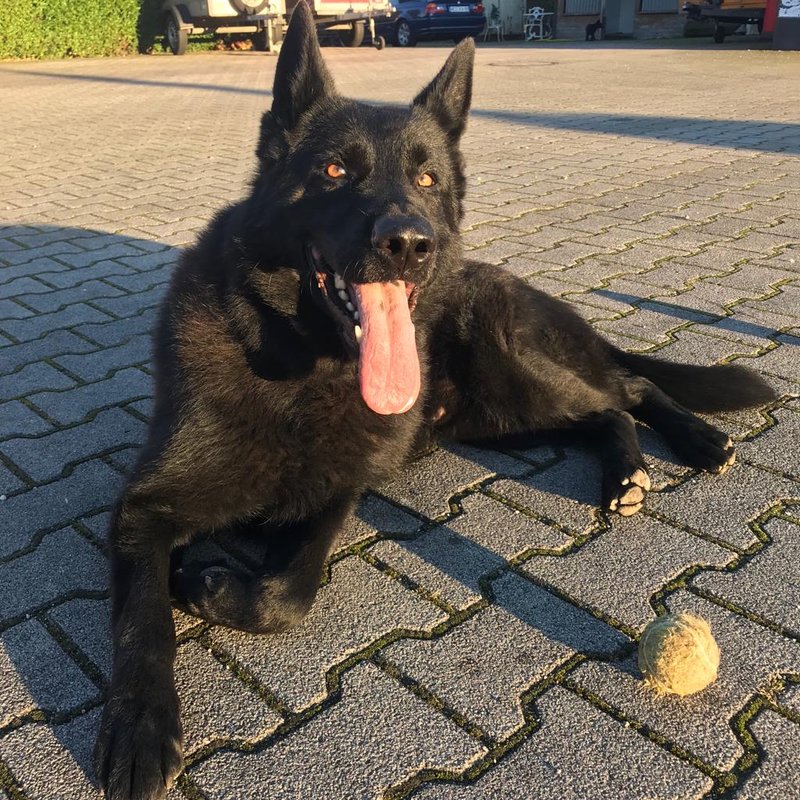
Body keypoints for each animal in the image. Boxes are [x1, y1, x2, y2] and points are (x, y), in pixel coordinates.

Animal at [93, 3, 776, 798]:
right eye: (333, 170)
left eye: (425, 177)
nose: (408, 244)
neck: (298, 369)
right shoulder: (144, 507)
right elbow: (142, 620)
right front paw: (141, 722)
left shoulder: (336, 492)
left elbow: (287, 592)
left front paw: (207, 582)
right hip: (497, 420)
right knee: (602, 411)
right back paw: (628, 472)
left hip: (512, 375)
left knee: (628, 388)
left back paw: (692, 444)